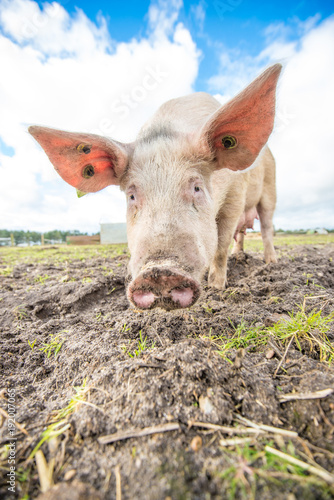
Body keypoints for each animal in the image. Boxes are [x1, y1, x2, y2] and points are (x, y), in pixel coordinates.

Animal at [28, 64, 280, 310]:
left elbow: (221, 244)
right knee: (242, 234)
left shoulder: (236, 194)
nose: (160, 271)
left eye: (196, 188)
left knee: (266, 227)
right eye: (131, 195)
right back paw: (241, 257)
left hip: (270, 190)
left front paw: (217, 289)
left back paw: (272, 263)